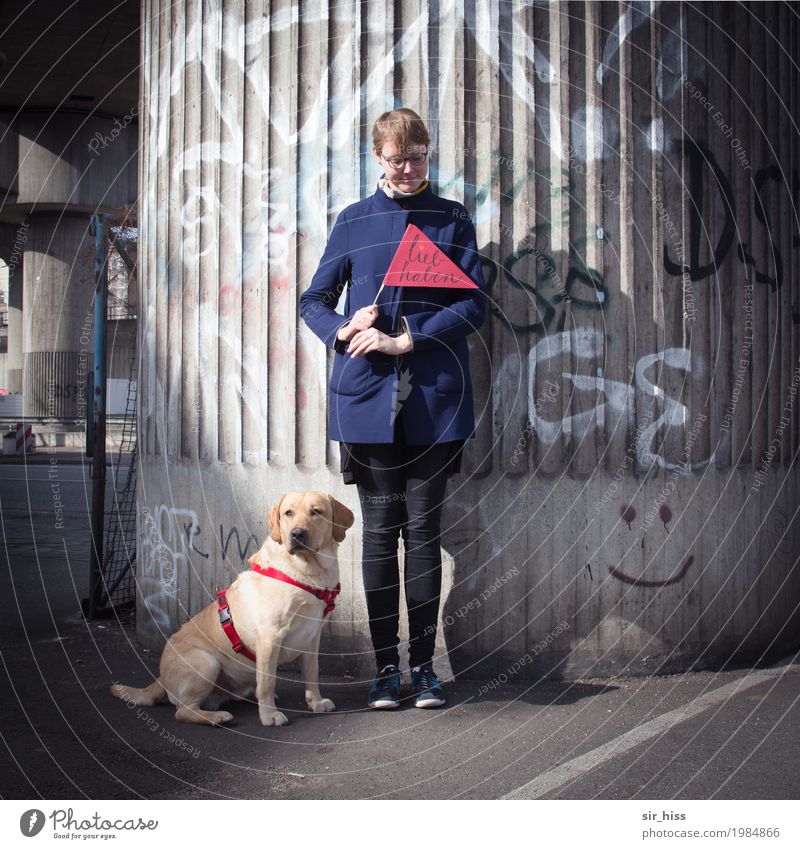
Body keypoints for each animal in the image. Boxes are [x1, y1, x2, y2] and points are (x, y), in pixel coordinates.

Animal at [109, 494, 354, 724]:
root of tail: (160, 677)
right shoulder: (270, 636)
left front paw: (316, 702)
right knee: (183, 711)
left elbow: (312, 673)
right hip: (207, 662)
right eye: (288, 513)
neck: (308, 572)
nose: (296, 534)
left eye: (316, 512)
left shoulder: (311, 636)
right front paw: (269, 716)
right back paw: (217, 717)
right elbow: (267, 681)